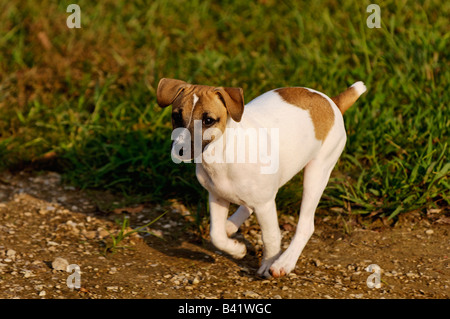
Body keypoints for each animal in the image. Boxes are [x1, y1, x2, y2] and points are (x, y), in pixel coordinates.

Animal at [157, 79, 366, 278]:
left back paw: (285, 262)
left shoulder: (265, 205)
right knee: (245, 208)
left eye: (208, 120)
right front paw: (237, 249)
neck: (222, 154)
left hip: (317, 173)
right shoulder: (217, 196)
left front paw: (268, 263)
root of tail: (332, 102)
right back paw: (231, 225)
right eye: (176, 116)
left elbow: (271, 237)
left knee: (305, 225)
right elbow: (216, 235)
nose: (180, 151)